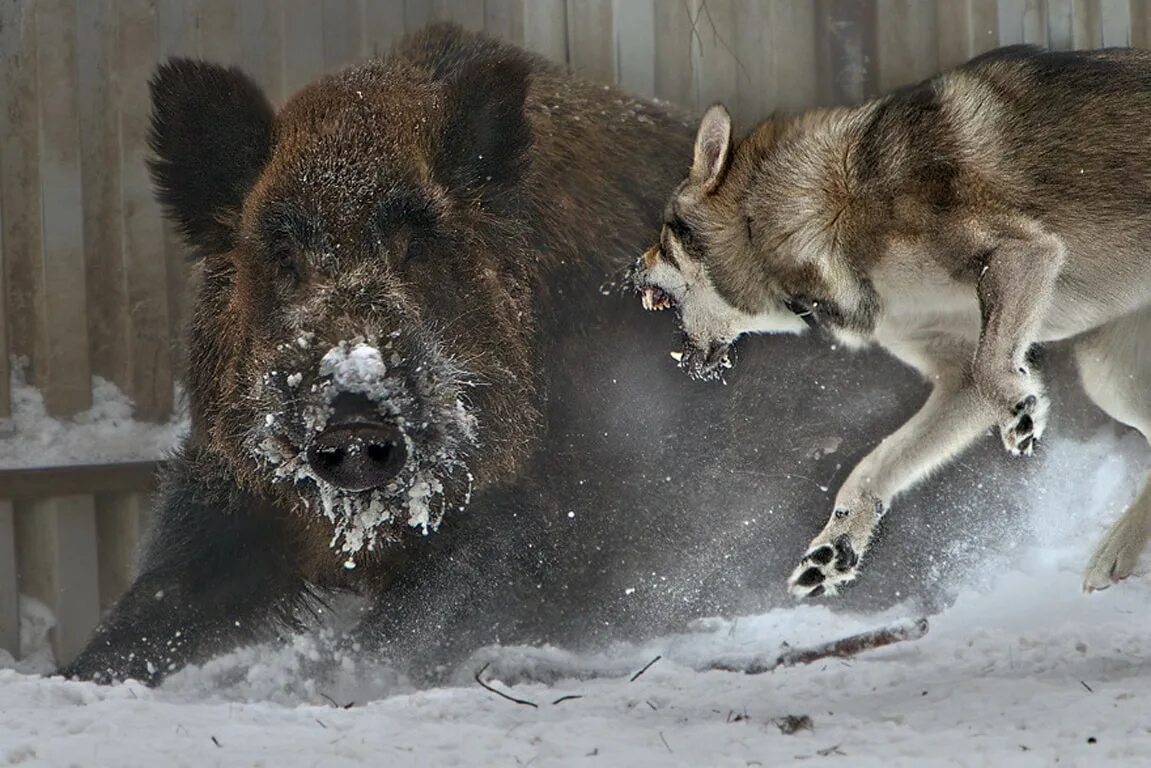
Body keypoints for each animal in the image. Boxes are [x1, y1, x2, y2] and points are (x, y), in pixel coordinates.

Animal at [635, 45, 1151, 598]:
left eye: (663, 238)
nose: (632, 268)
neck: (822, 210)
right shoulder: (959, 381)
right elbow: (872, 467)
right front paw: (836, 545)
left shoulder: (1022, 252)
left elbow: (993, 366)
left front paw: (1020, 413)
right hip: (1108, 376)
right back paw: (1116, 553)